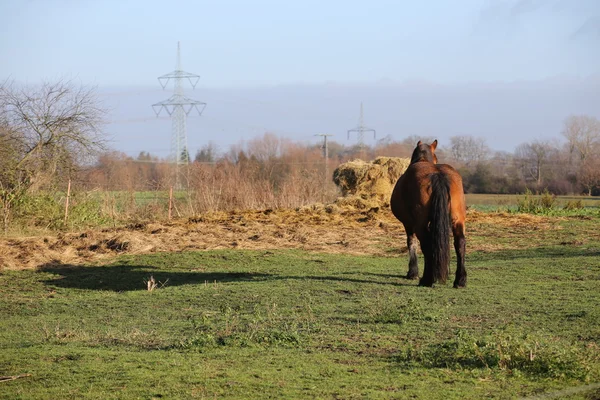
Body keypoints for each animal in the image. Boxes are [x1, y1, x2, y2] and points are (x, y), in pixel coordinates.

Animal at [392, 141, 466, 288]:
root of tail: (437, 174)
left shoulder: (408, 224)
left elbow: (412, 243)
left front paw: (413, 273)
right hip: (457, 220)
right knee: (460, 243)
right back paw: (460, 280)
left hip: (420, 224)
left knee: (426, 245)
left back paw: (427, 279)